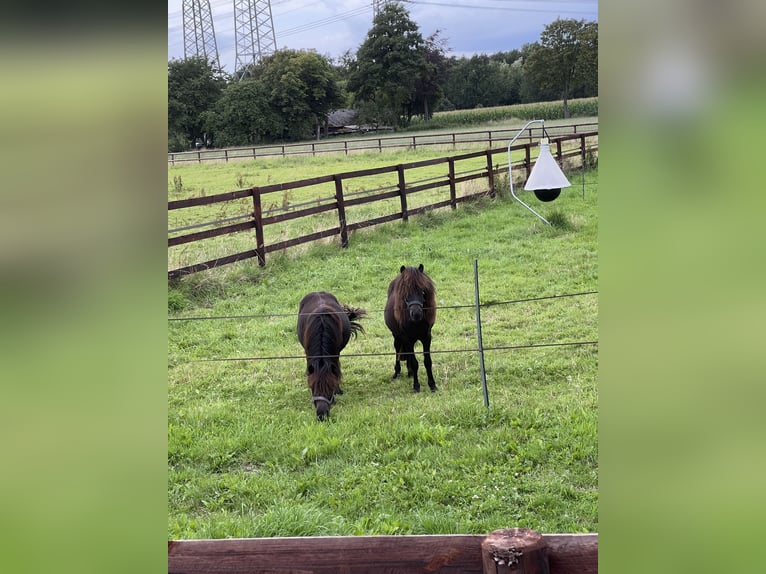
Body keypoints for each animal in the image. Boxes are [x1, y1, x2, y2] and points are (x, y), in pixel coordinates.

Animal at [384, 264, 438, 394]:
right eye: (405, 293)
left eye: (422, 291)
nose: (416, 314)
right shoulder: (407, 339)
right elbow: (415, 363)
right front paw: (416, 386)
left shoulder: (426, 338)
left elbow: (427, 362)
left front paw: (432, 385)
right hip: (397, 337)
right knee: (398, 351)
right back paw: (397, 372)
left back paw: (410, 372)